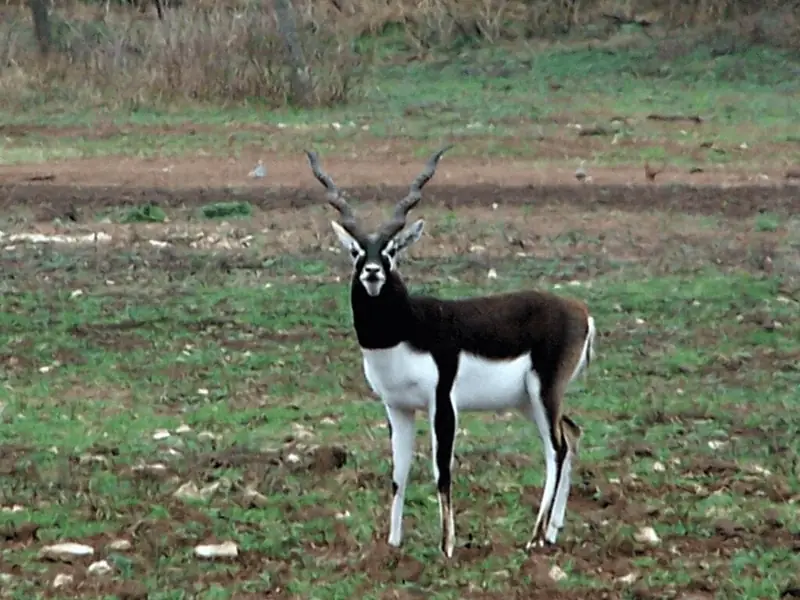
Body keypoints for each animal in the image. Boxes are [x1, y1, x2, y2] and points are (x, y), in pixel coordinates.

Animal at [304, 146, 596, 558]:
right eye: (358, 251)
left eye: (391, 249)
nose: (373, 272)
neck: (407, 329)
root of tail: (580, 311)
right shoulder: (398, 407)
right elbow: (398, 473)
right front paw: (392, 545)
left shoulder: (442, 403)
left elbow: (442, 471)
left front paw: (447, 547)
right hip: (530, 400)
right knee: (570, 435)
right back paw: (552, 532)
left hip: (544, 392)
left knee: (555, 448)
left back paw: (534, 537)